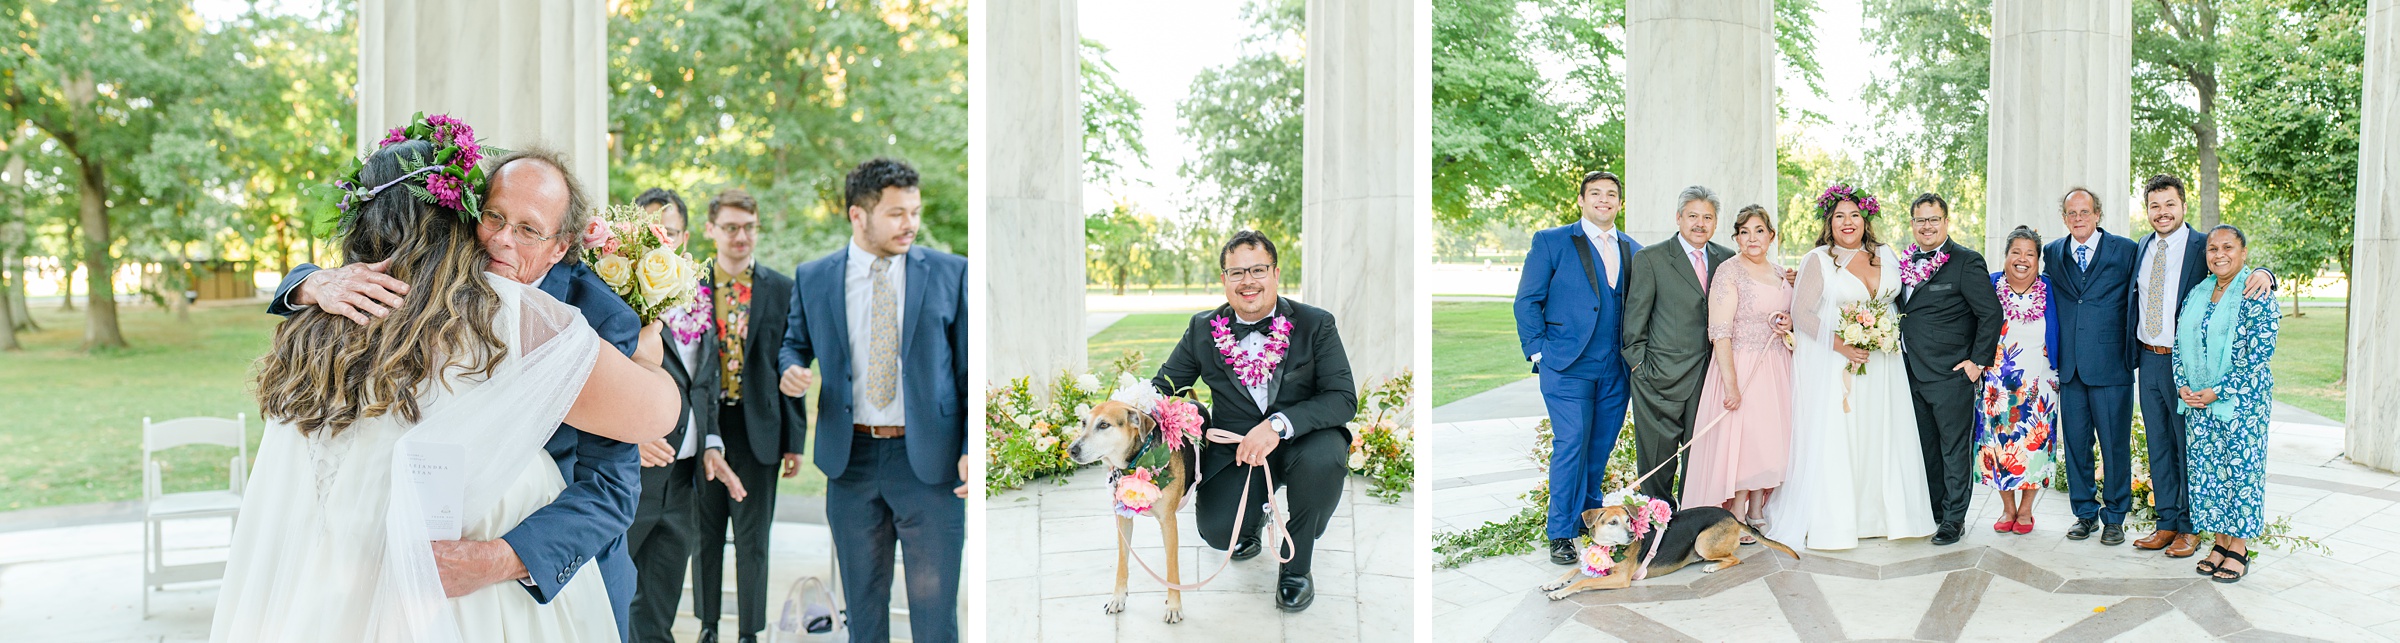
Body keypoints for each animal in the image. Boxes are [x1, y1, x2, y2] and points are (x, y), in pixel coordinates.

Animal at [1065, 398, 1195, 623]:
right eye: (1083, 423)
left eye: (1104, 425)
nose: (1071, 449)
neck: (1139, 460)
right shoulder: (1122, 519)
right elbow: (1122, 562)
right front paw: (1118, 598)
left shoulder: (1168, 521)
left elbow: (1172, 568)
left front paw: (1174, 606)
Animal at [1545, 503, 1795, 599]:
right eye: (1613, 522)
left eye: (1629, 521)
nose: (1631, 535)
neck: (1610, 548)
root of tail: (1733, 517)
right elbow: (1574, 572)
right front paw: (1554, 583)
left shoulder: (1620, 579)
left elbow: (1583, 581)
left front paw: (1561, 592)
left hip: (1702, 541)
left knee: (1734, 559)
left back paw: (1712, 567)